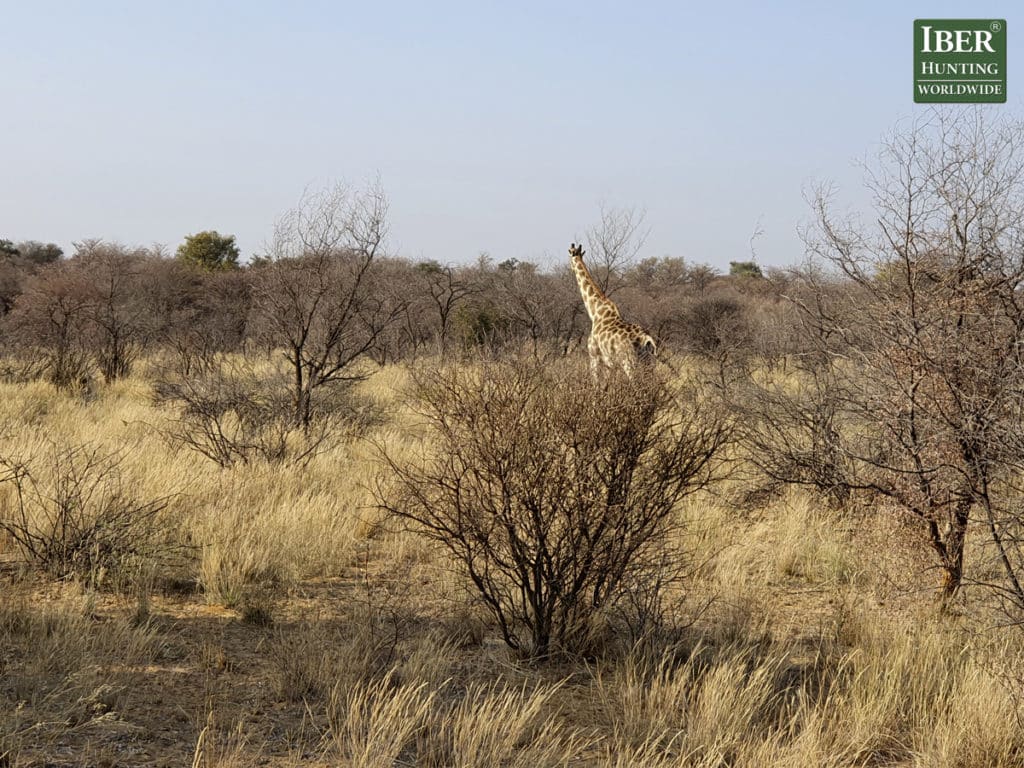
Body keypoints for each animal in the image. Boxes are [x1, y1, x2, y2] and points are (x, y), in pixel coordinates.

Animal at [569, 241, 655, 376]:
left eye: (569, 253)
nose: (571, 267)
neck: (595, 312)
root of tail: (646, 338)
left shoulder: (594, 356)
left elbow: (595, 380)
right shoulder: (609, 363)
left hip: (629, 361)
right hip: (648, 362)